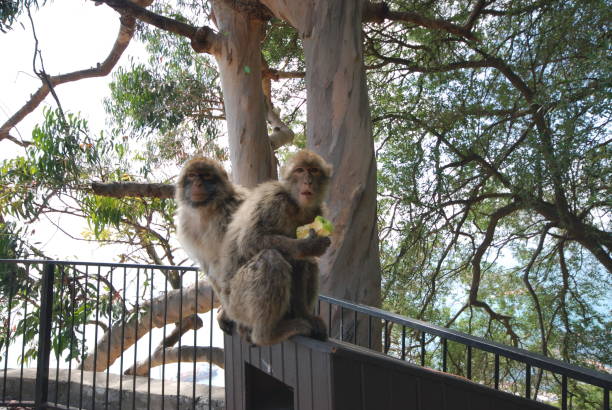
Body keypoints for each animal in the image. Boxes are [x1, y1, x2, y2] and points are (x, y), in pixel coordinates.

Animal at [216, 151, 332, 346]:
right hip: (237, 305)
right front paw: (307, 246)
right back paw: (267, 334)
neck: (295, 204)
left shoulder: (316, 212)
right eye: (300, 170)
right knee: (271, 259)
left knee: (309, 263)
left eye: (314, 170)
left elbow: (300, 264)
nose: (308, 181)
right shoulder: (272, 200)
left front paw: (305, 314)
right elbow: (249, 241)